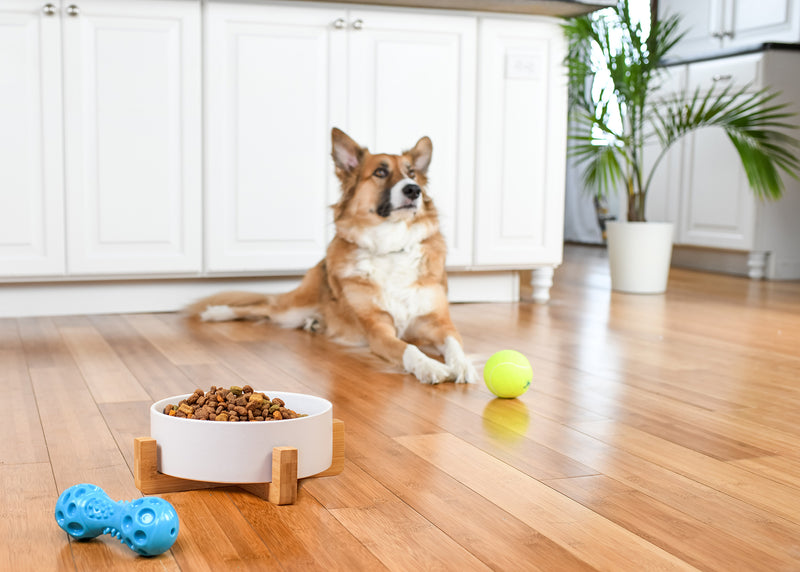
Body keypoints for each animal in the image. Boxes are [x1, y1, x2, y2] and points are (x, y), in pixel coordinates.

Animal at [184, 127, 478, 382]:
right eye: (380, 172)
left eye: (413, 174)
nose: (413, 190)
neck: (391, 247)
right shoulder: (378, 329)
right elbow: (409, 349)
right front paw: (430, 366)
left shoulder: (438, 322)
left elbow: (455, 342)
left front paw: (463, 365)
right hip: (290, 308)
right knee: (261, 307)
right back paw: (216, 313)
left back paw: (314, 323)